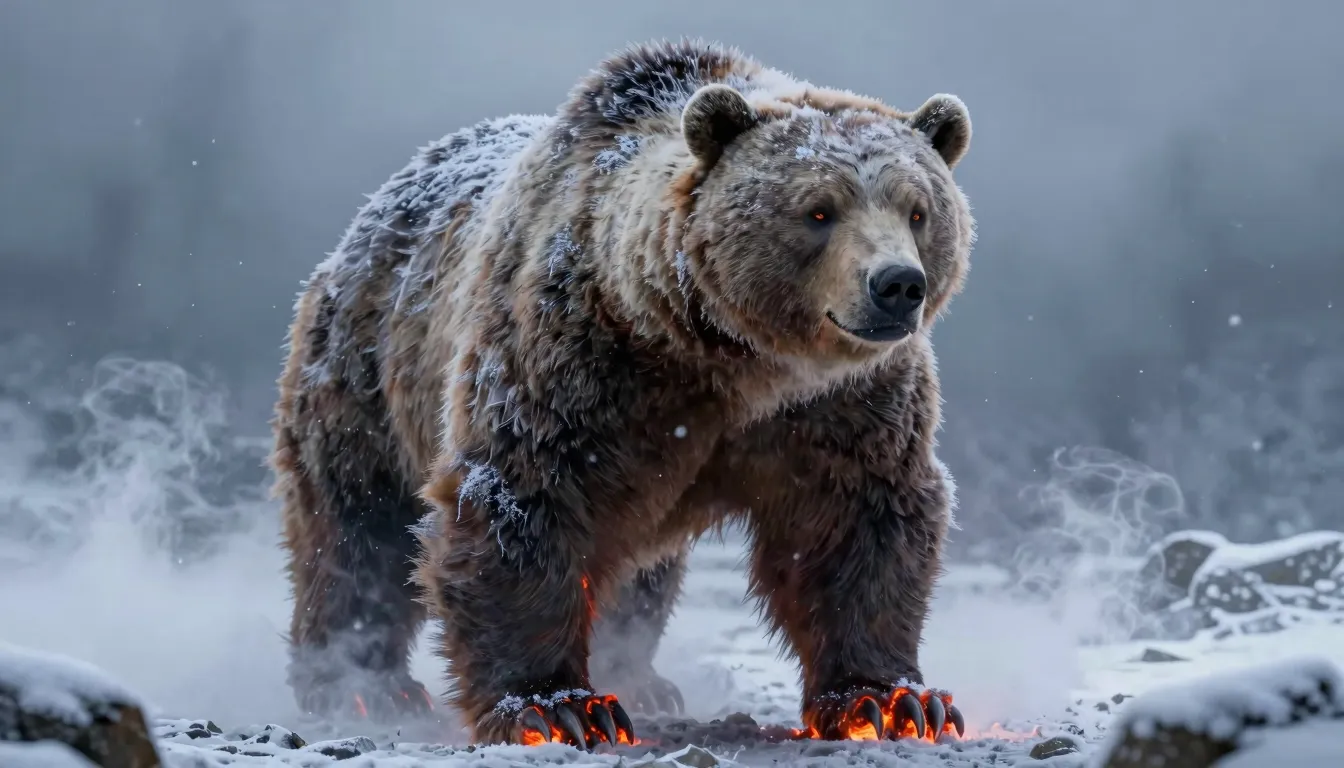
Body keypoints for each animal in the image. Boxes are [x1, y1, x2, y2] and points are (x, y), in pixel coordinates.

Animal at [270, 38, 975, 749]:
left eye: (918, 211)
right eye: (819, 210)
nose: (897, 285)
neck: (731, 360)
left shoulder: (844, 406)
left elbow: (858, 524)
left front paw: (893, 700)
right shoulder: (575, 360)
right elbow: (522, 500)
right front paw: (557, 707)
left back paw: (641, 675)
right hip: (365, 371)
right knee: (359, 531)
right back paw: (359, 683)